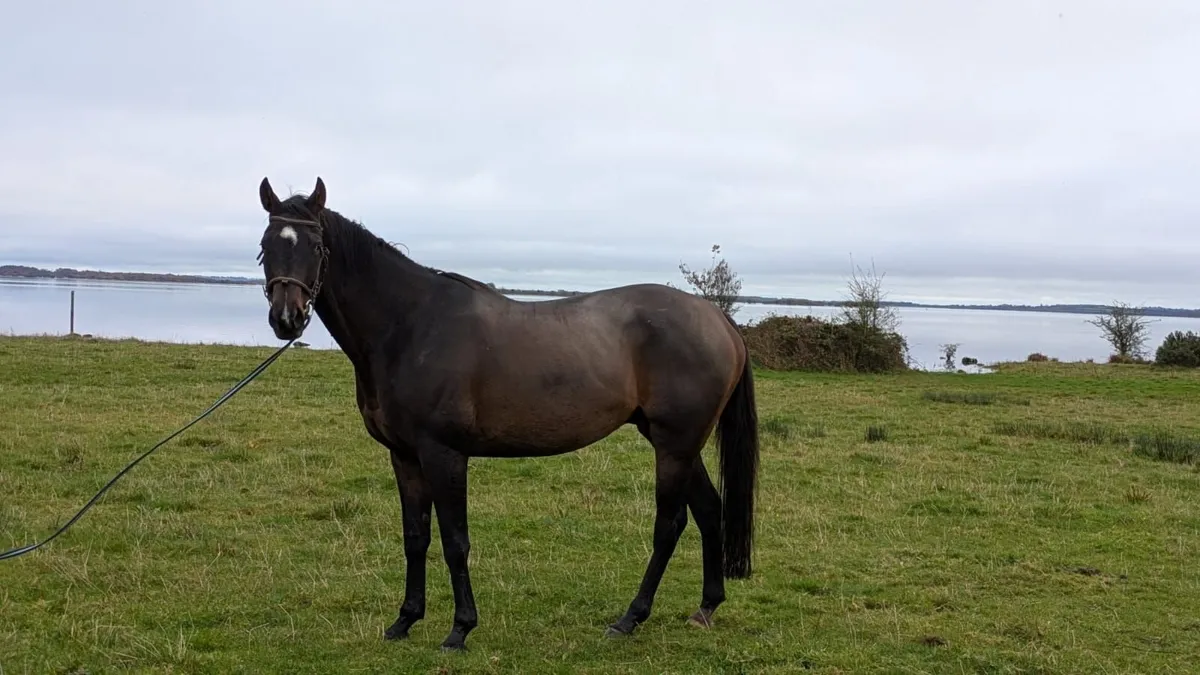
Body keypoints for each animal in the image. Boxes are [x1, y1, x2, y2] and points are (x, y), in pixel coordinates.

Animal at [255, 176, 760, 651]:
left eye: (315, 247)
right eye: (265, 248)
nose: (286, 318)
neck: (410, 326)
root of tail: (719, 320)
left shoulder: (444, 454)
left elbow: (455, 541)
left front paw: (459, 629)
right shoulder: (404, 456)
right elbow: (416, 537)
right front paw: (405, 621)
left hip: (675, 444)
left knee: (669, 525)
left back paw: (629, 618)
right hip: (673, 441)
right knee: (709, 510)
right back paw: (705, 607)